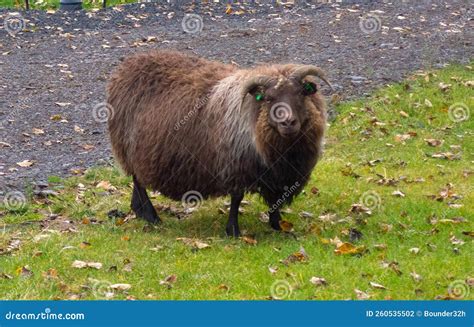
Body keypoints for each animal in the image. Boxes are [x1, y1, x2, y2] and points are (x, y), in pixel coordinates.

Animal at [107, 50, 332, 237]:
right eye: (268, 98)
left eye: (301, 93)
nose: (288, 122)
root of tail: (127, 65)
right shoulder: (235, 166)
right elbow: (236, 199)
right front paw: (233, 231)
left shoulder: (280, 174)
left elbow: (276, 200)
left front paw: (278, 226)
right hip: (129, 149)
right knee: (138, 181)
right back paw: (151, 216)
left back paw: (138, 210)